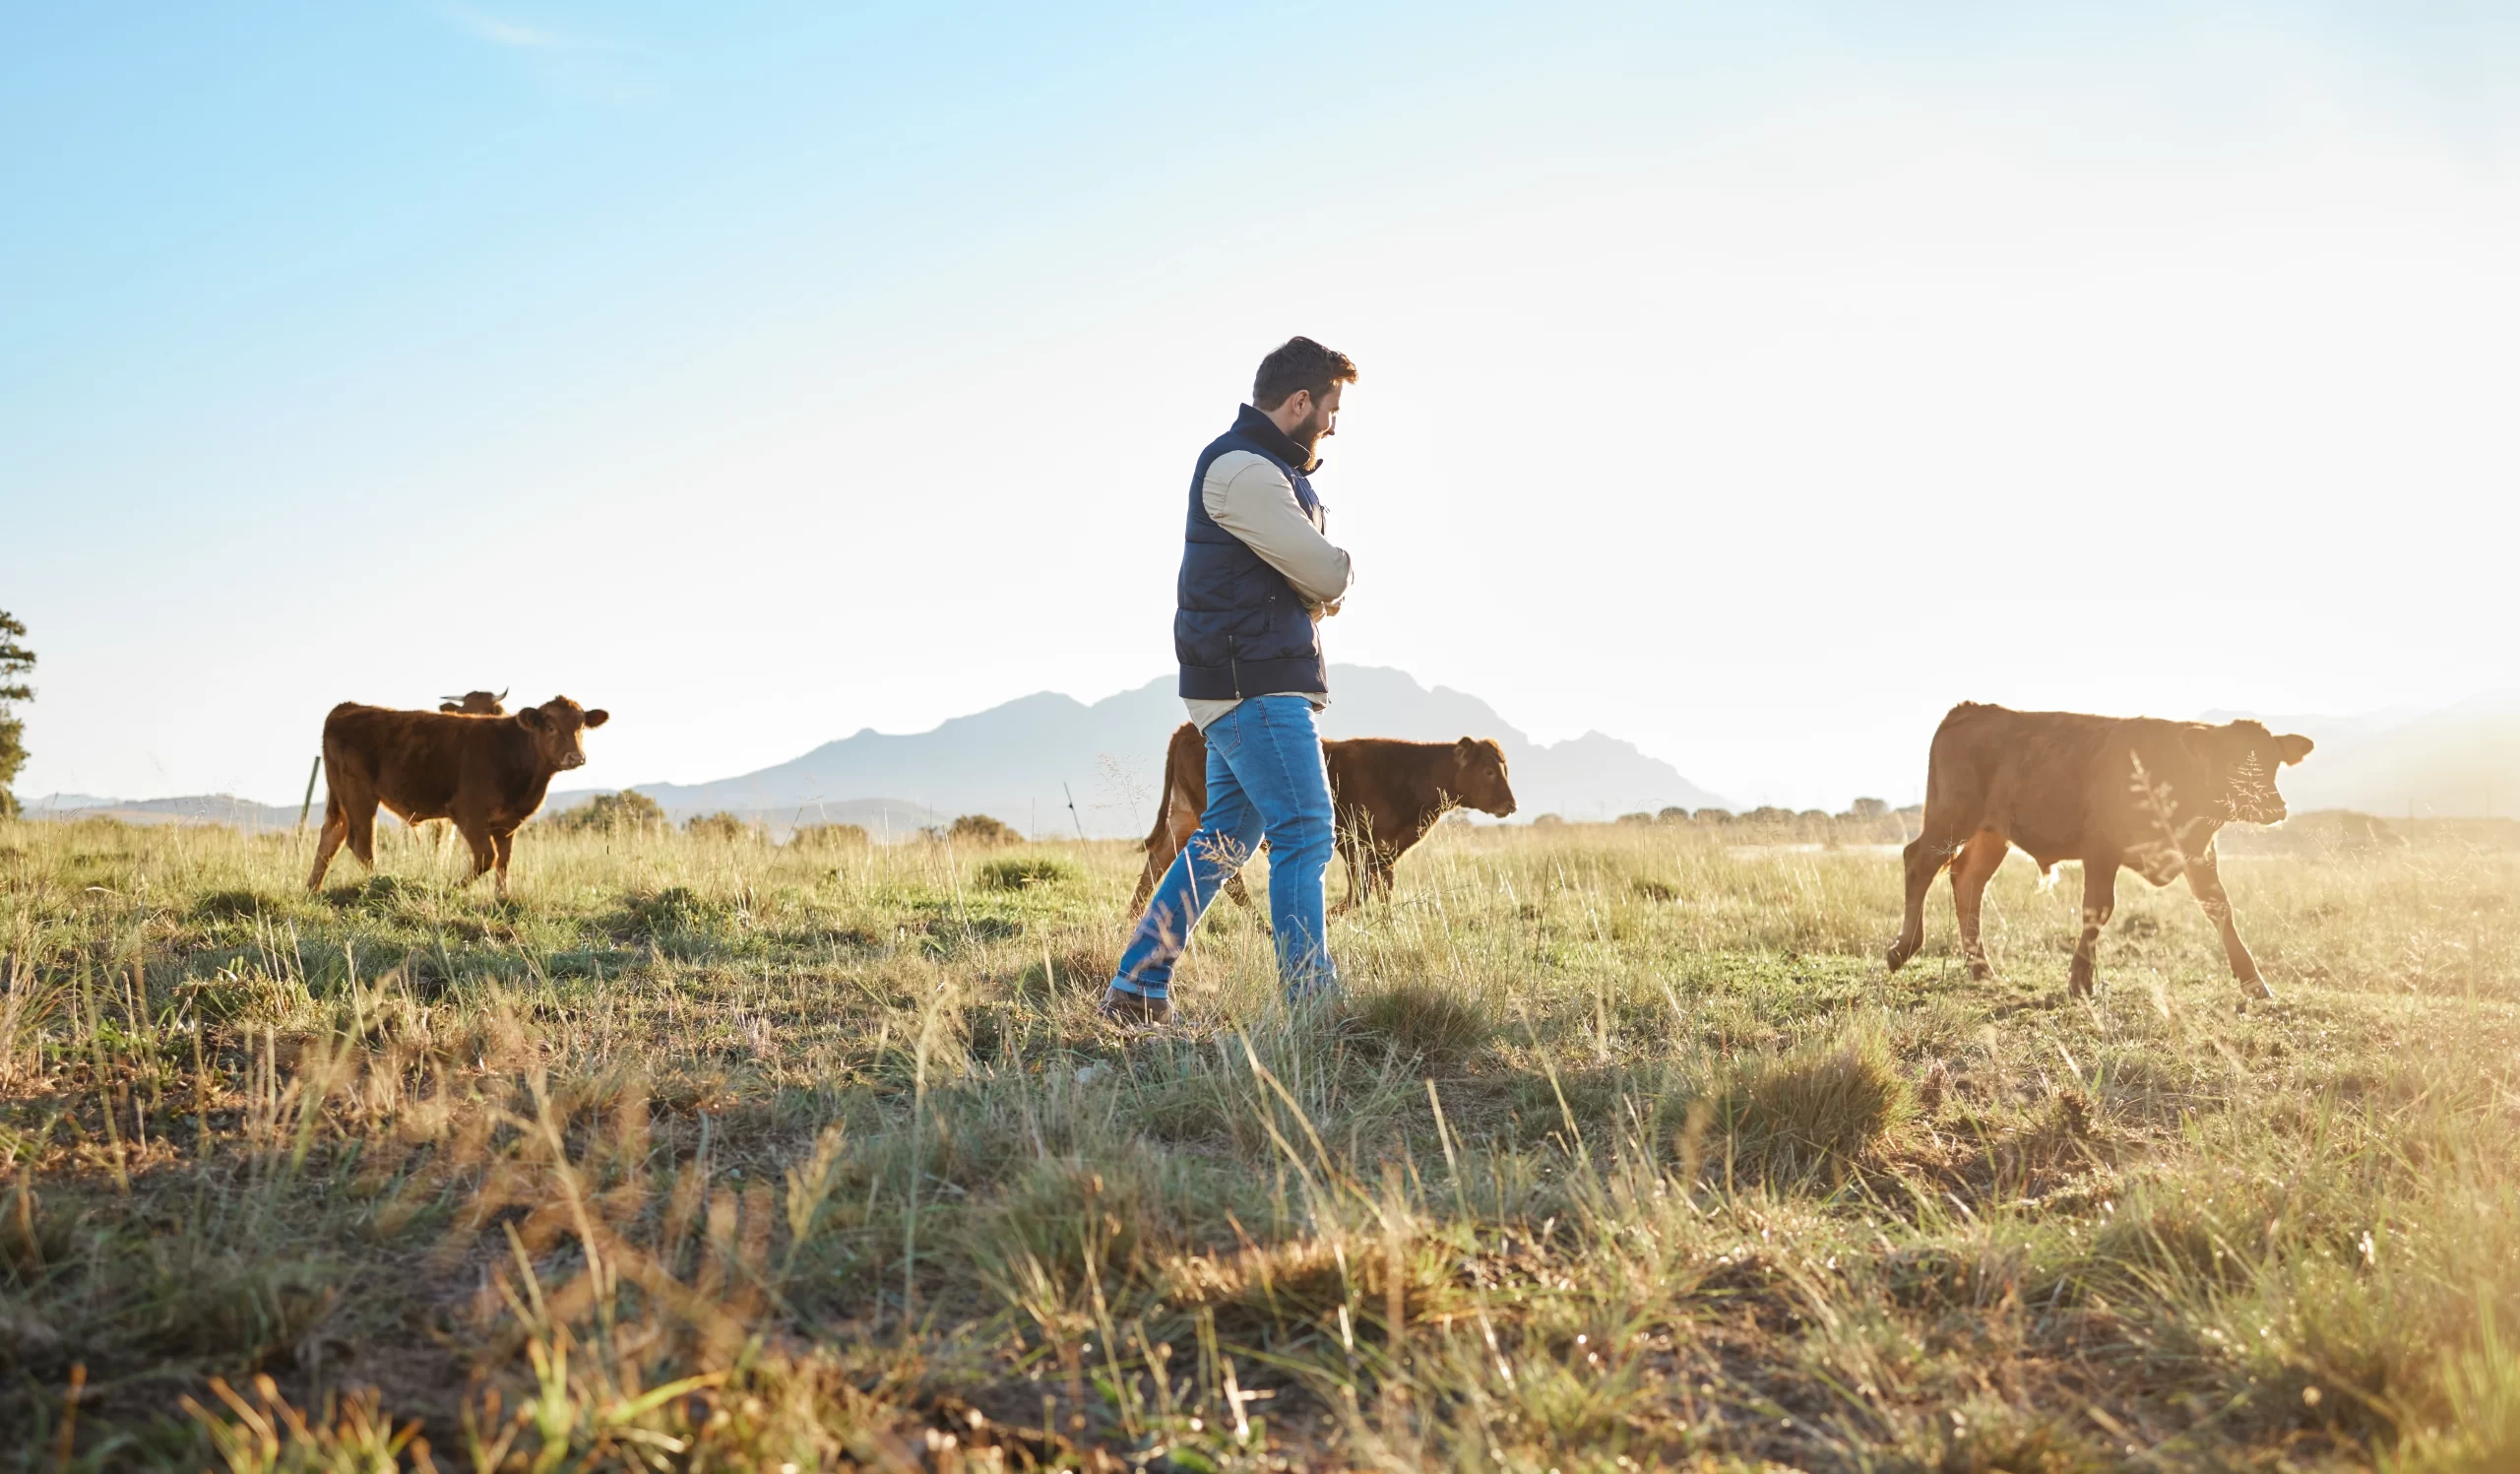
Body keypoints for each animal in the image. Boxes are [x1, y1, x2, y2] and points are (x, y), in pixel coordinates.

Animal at [308, 690, 609, 896]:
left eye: (581, 726)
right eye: (550, 726)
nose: (576, 757)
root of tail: (347, 708)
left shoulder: (508, 823)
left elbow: (504, 862)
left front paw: (502, 898)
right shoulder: (468, 814)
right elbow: (488, 857)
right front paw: (453, 887)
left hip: (342, 799)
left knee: (331, 838)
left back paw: (313, 891)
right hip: (359, 795)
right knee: (361, 844)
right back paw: (381, 884)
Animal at [1139, 720, 1522, 912]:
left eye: (1505, 768)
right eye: (1489, 771)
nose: (1511, 805)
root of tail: (1187, 729)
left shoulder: (1385, 851)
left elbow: (1383, 892)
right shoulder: (1353, 842)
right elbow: (1360, 892)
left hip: (1183, 818)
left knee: (1155, 865)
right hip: (1221, 827)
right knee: (1230, 882)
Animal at [1884, 700, 2307, 997]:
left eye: (2273, 762)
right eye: (2232, 763)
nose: (2275, 807)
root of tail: (1972, 708)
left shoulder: (2199, 853)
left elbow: (2220, 908)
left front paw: (2254, 982)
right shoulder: (2102, 849)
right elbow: (2098, 910)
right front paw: (2079, 980)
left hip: (1991, 834)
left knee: (1967, 882)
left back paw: (1982, 969)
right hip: (1952, 817)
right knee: (1918, 862)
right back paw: (1903, 949)